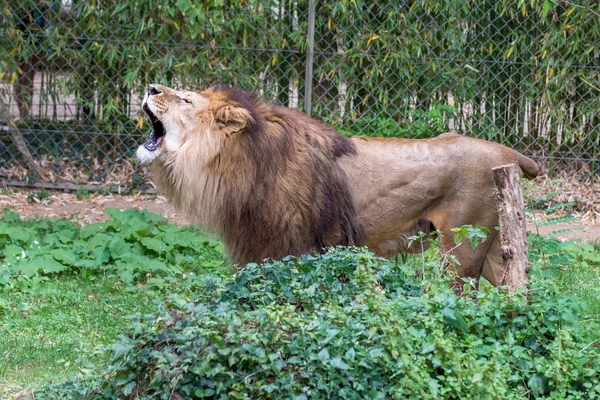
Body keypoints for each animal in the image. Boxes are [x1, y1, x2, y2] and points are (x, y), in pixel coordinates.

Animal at [136, 84, 540, 290]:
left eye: (185, 98)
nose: (151, 86)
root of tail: (509, 152)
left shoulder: (286, 246)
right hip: (492, 248)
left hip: (461, 249)